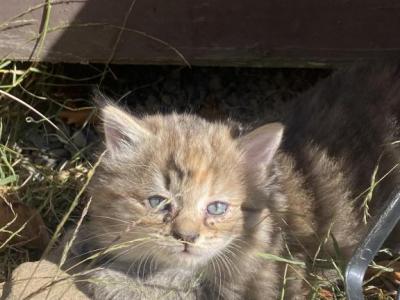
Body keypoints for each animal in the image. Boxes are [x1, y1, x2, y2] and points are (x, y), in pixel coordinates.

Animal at [64, 62, 400, 298]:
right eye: (158, 202)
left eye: (216, 208)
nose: (187, 237)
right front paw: (89, 241)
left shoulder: (270, 280)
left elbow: (175, 288)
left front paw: (108, 277)